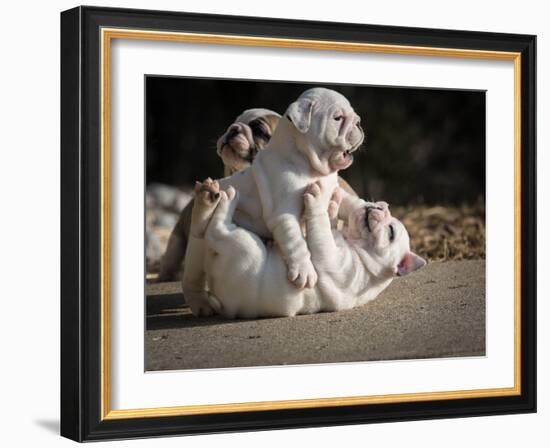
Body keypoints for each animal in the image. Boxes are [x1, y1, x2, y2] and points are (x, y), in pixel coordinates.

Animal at [183, 88, 368, 316]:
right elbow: (295, 242)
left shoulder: (333, 190)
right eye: (338, 118)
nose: (359, 123)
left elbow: (348, 203)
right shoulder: (284, 213)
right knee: (193, 277)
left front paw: (367, 209)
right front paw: (305, 271)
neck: (309, 165)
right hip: (197, 250)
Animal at [192, 178, 430, 318]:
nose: (378, 207)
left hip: (244, 245)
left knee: (218, 230)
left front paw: (318, 199)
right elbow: (329, 222)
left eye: (390, 232)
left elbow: (319, 227)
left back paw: (227, 200)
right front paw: (332, 204)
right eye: (380, 206)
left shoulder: (330, 258)